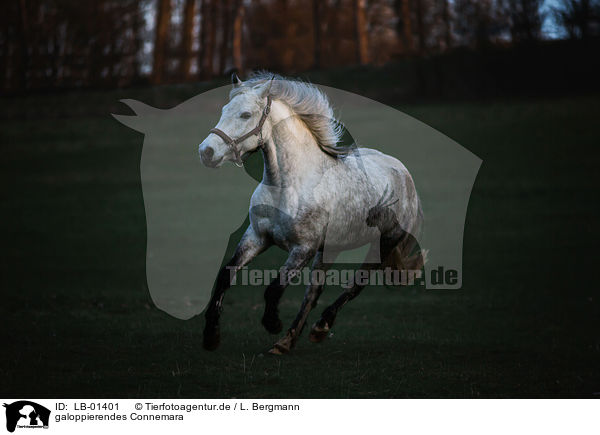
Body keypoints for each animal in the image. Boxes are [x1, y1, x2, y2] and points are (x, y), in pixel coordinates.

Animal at [199, 72, 424, 354]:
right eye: (223, 110)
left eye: (245, 114)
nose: (206, 152)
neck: (288, 186)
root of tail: (403, 172)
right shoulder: (256, 238)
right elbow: (225, 276)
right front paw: (211, 335)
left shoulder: (302, 249)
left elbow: (274, 288)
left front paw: (272, 323)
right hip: (330, 249)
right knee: (314, 291)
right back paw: (288, 341)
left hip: (383, 244)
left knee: (355, 285)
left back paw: (319, 327)